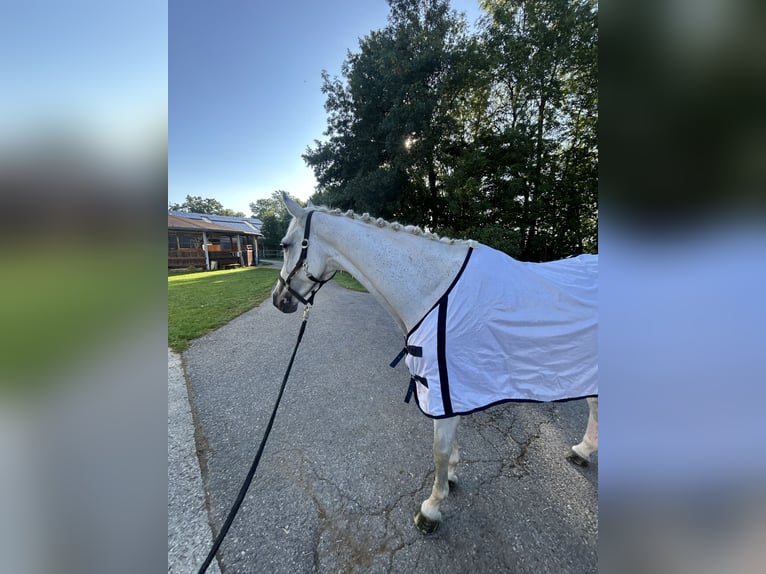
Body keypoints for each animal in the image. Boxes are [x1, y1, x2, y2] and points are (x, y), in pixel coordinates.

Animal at [272, 192, 598, 534]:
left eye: (285, 244)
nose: (278, 300)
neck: (433, 291)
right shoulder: (454, 388)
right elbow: (449, 447)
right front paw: (451, 477)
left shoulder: (447, 388)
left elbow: (438, 450)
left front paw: (431, 509)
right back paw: (582, 451)